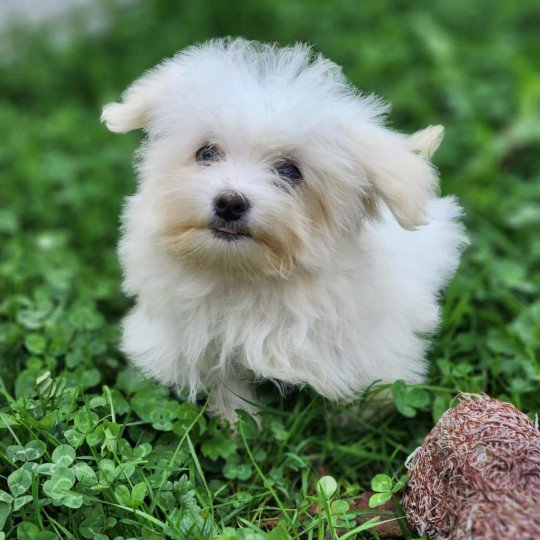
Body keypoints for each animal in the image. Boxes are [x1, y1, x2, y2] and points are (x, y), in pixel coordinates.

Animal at [102, 40, 468, 424]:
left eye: (290, 171)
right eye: (206, 152)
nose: (230, 202)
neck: (247, 275)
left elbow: (365, 388)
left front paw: (351, 423)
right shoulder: (201, 339)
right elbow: (228, 386)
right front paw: (239, 424)